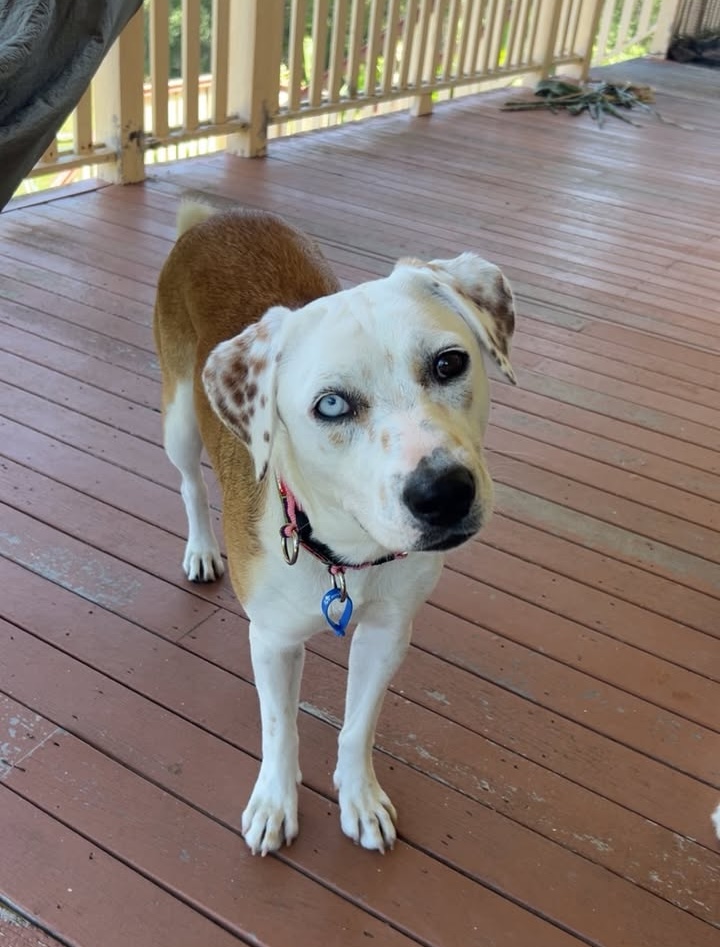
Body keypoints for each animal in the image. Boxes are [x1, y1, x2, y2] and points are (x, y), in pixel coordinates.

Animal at [153, 201, 516, 855]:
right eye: (330, 405)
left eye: (450, 362)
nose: (444, 494)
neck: (349, 555)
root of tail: (214, 215)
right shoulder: (272, 639)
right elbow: (280, 729)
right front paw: (275, 803)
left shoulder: (388, 631)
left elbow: (358, 725)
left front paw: (360, 798)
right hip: (179, 421)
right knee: (191, 485)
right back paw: (201, 549)